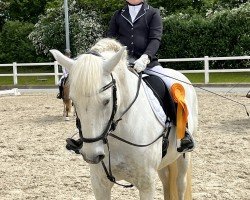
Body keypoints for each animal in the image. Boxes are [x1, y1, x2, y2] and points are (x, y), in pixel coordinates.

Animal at [50, 38, 198, 199]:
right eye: (74, 101)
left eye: (107, 101)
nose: (91, 156)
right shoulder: (99, 184)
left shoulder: (147, 185)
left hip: (183, 157)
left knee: (180, 184)